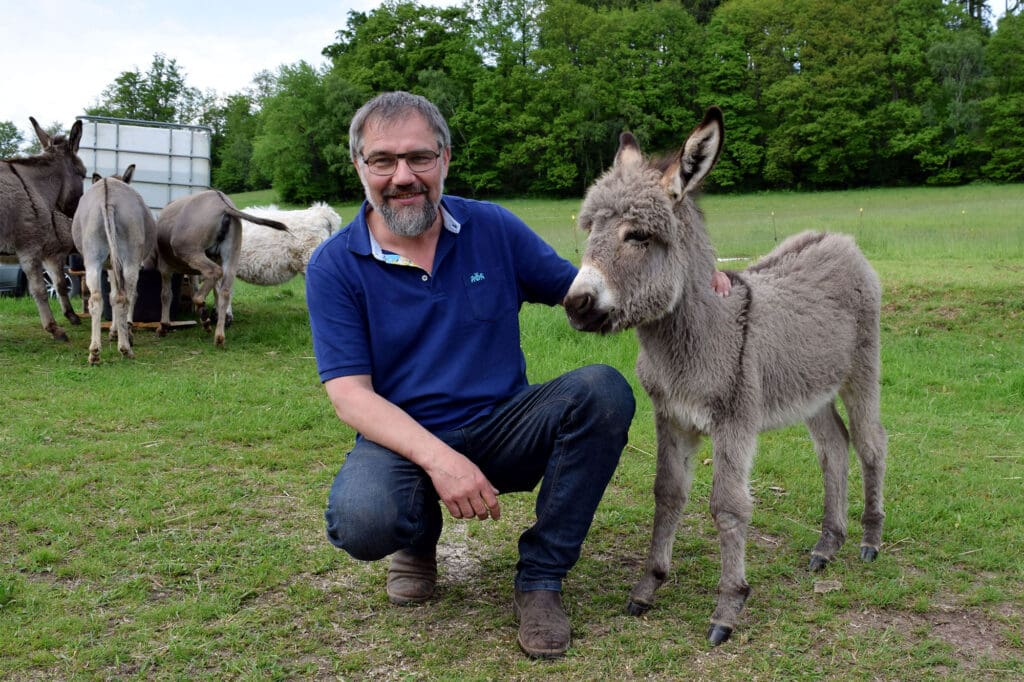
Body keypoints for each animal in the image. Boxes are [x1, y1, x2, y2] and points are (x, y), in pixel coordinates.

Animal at [561, 106, 888, 643]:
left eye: (638, 236)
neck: (693, 338)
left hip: (861, 370)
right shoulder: (670, 416)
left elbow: (728, 506)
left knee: (870, 443)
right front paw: (648, 587)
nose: (576, 304)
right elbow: (667, 493)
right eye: (590, 230)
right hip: (810, 390)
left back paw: (870, 539)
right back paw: (827, 544)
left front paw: (728, 607)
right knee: (834, 447)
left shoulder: (734, 422)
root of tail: (838, 239)